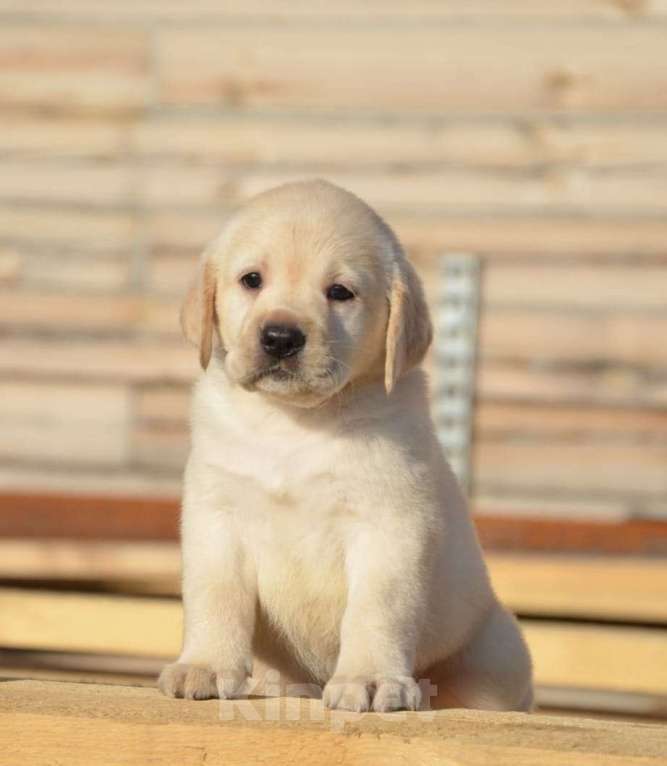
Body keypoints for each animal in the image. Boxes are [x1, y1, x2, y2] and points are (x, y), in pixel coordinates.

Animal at [159, 180, 536, 712]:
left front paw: (371, 678)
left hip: (495, 652)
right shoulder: (217, 516)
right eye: (251, 280)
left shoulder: (390, 525)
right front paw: (206, 665)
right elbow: (216, 595)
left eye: (340, 292)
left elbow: (377, 606)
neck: (294, 423)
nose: (280, 337)